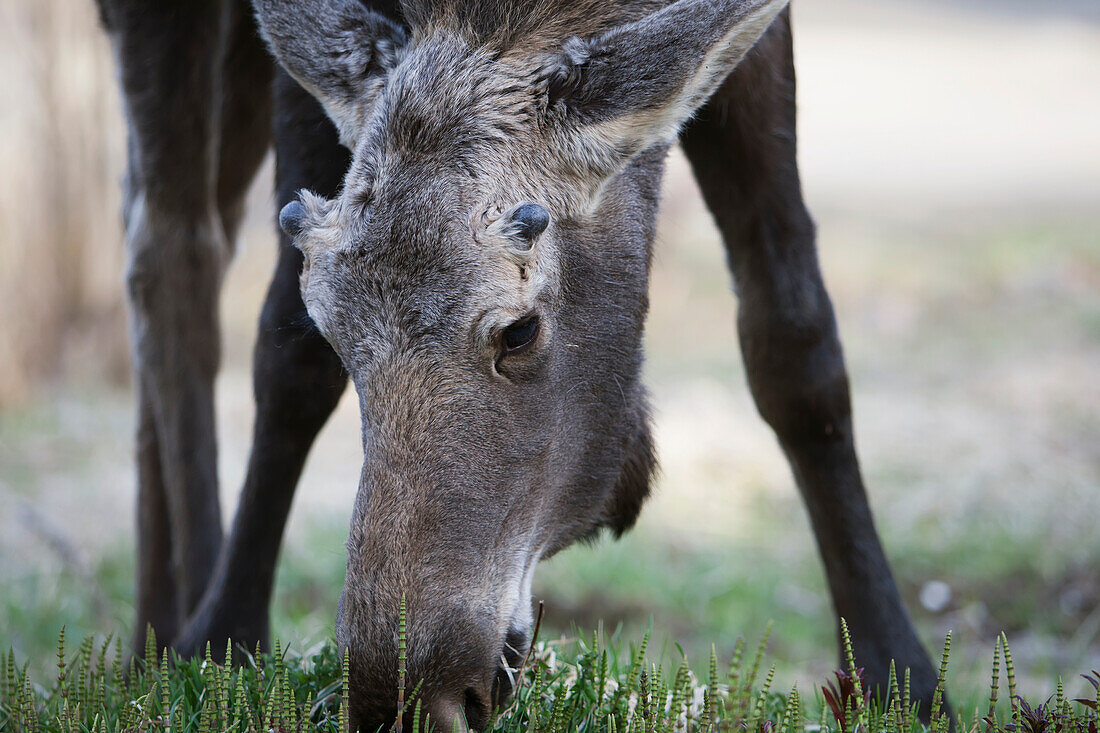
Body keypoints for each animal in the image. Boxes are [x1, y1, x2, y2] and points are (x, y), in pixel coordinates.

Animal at [92, 0, 937, 726]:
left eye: (521, 330)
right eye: (335, 326)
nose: (405, 697)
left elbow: (795, 340)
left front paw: (900, 677)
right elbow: (285, 350)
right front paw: (222, 641)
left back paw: (148, 631)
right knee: (169, 246)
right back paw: (174, 627)